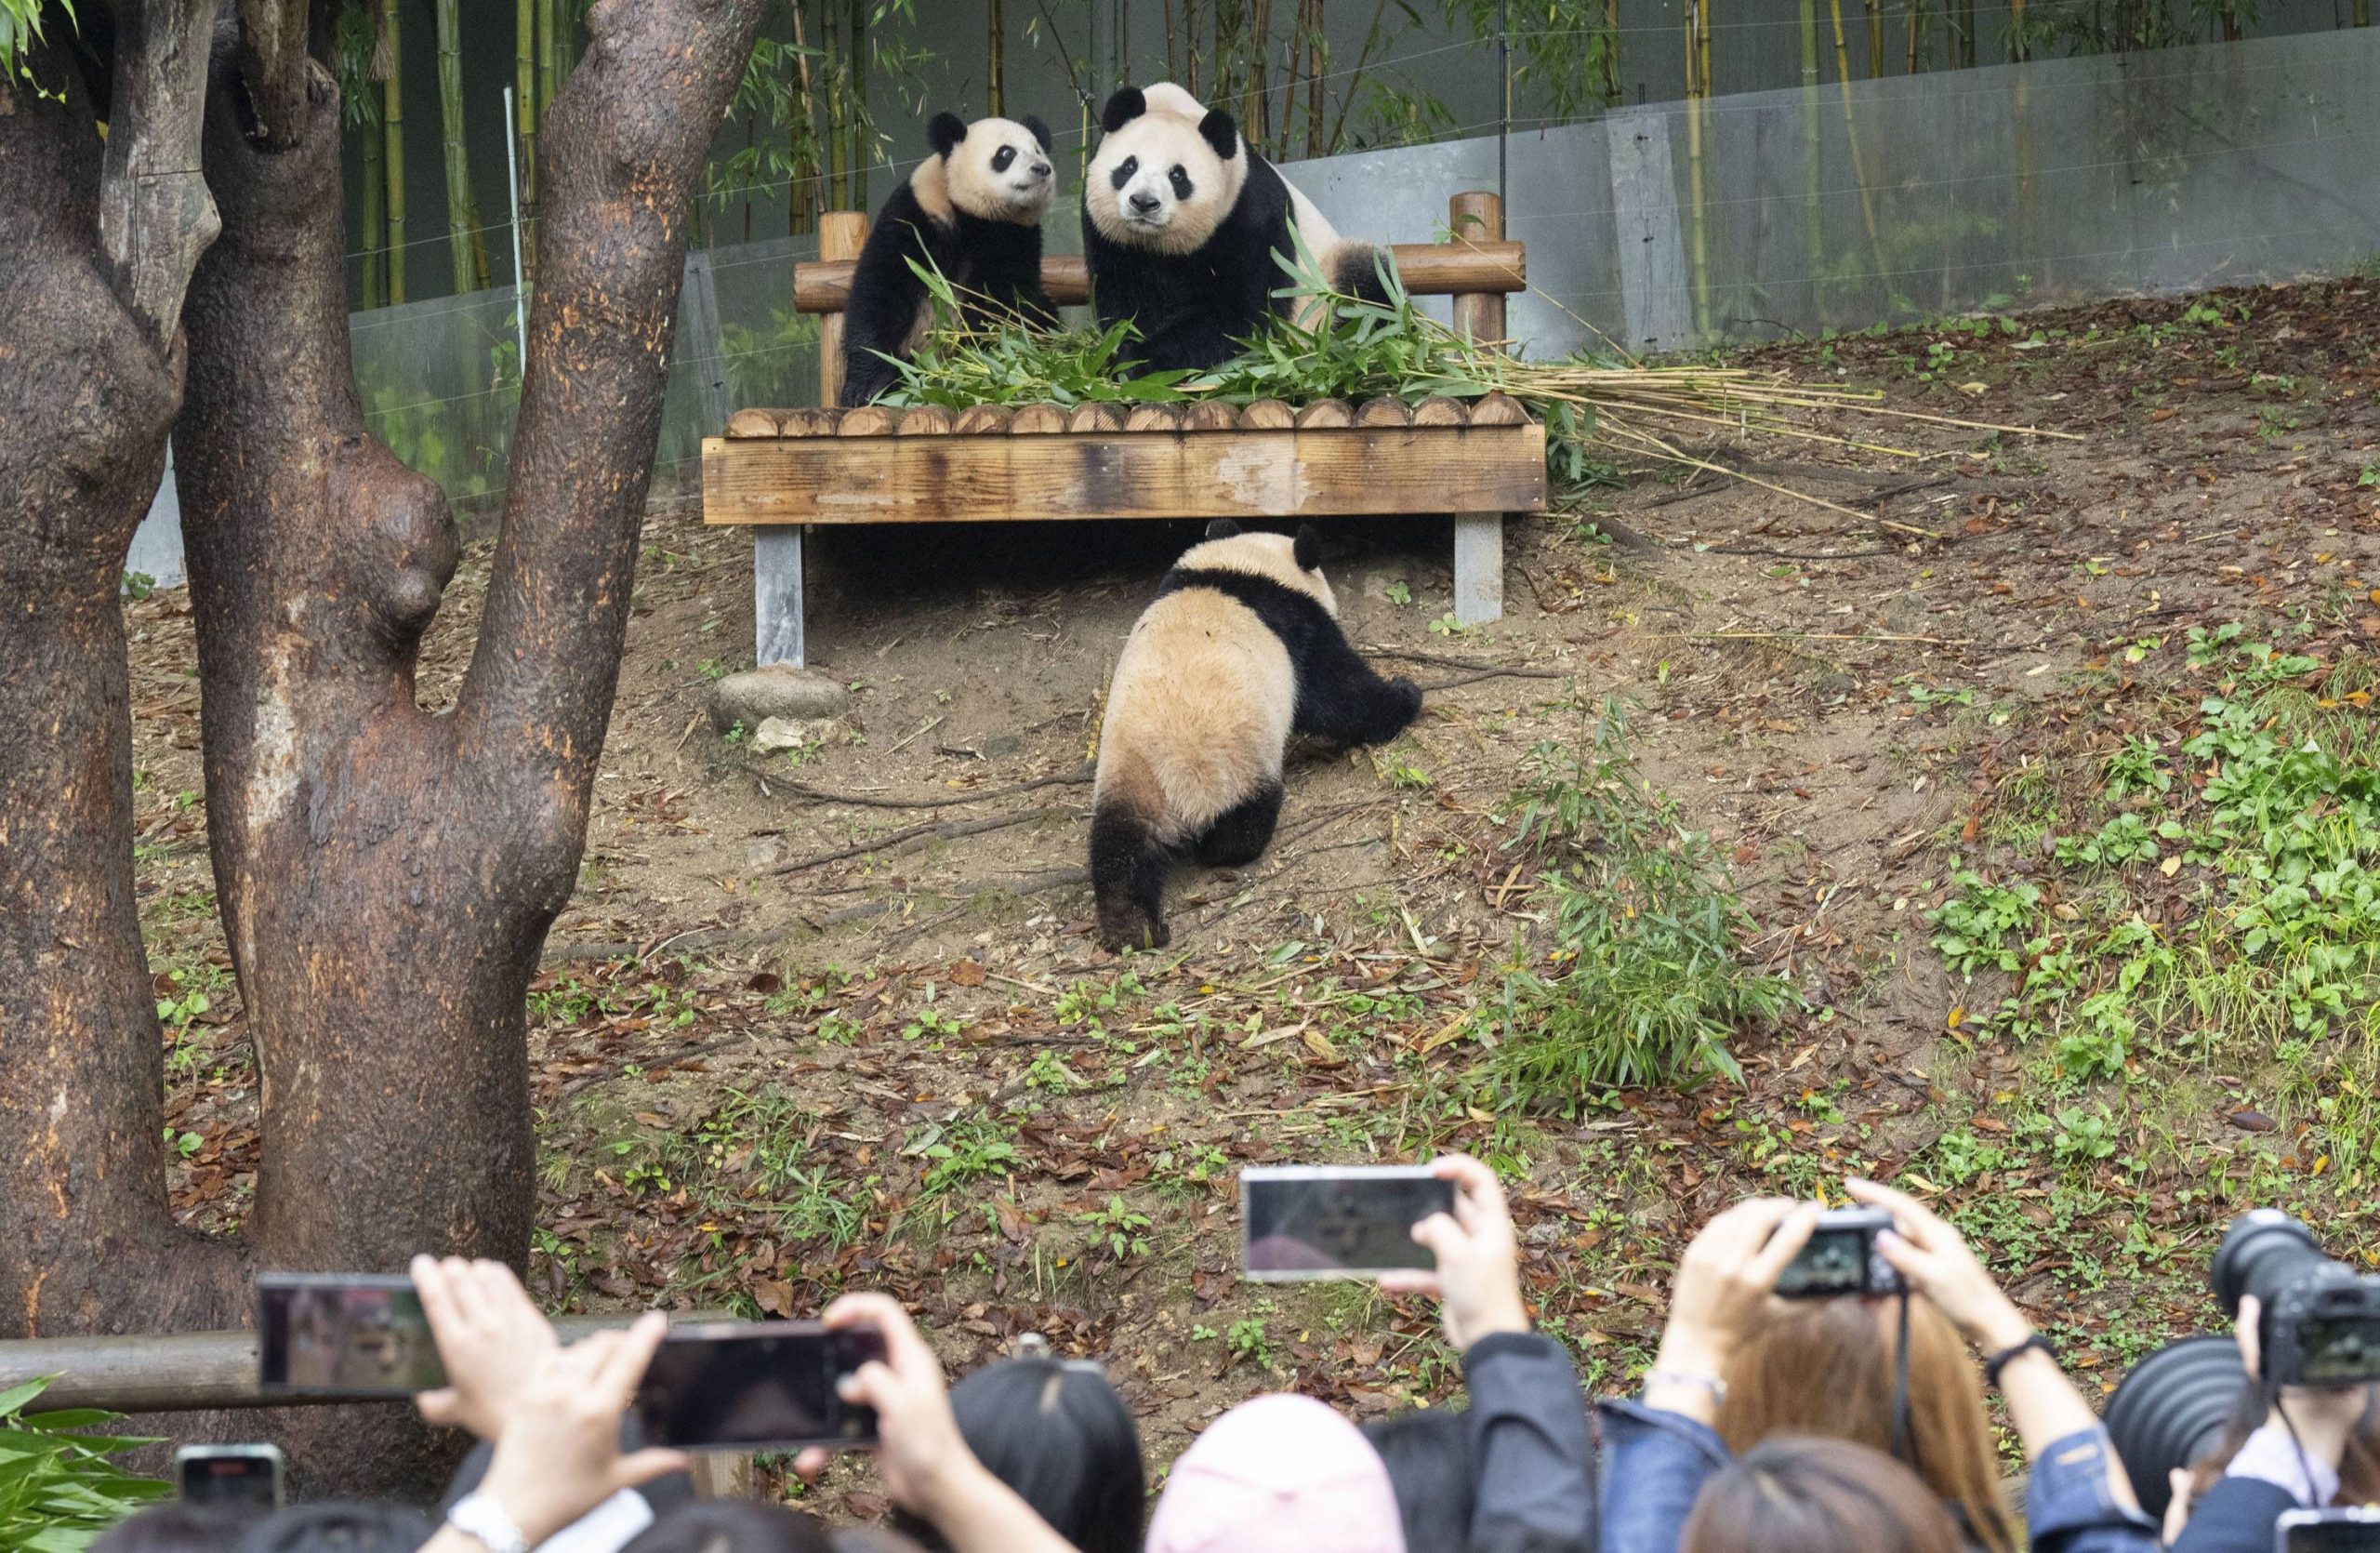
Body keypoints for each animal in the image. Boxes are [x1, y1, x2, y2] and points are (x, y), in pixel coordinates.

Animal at [842, 113, 1056, 409]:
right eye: (1006, 153)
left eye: (1038, 149)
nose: (1042, 168)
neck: (976, 218)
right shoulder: (917, 215)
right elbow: (879, 291)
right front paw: (865, 387)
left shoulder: (1015, 238)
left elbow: (1003, 304)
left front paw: (980, 364)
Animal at [1085, 83, 1390, 374]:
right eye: (1129, 166)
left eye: (1177, 175)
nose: (1144, 202)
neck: (1156, 244)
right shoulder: (1108, 238)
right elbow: (1123, 300)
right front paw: (1122, 347)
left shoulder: (1251, 216)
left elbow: (1242, 314)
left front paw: (1138, 358)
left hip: (1328, 278)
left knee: (1366, 285)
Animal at [1090, 521, 1418, 952]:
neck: (1242, 564)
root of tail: (1171, 772)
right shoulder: (1297, 627)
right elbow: (1336, 691)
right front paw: (1404, 697)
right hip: (1235, 763)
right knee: (1242, 822)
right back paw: (1222, 852)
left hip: (1128, 774)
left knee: (1119, 846)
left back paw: (1133, 927)